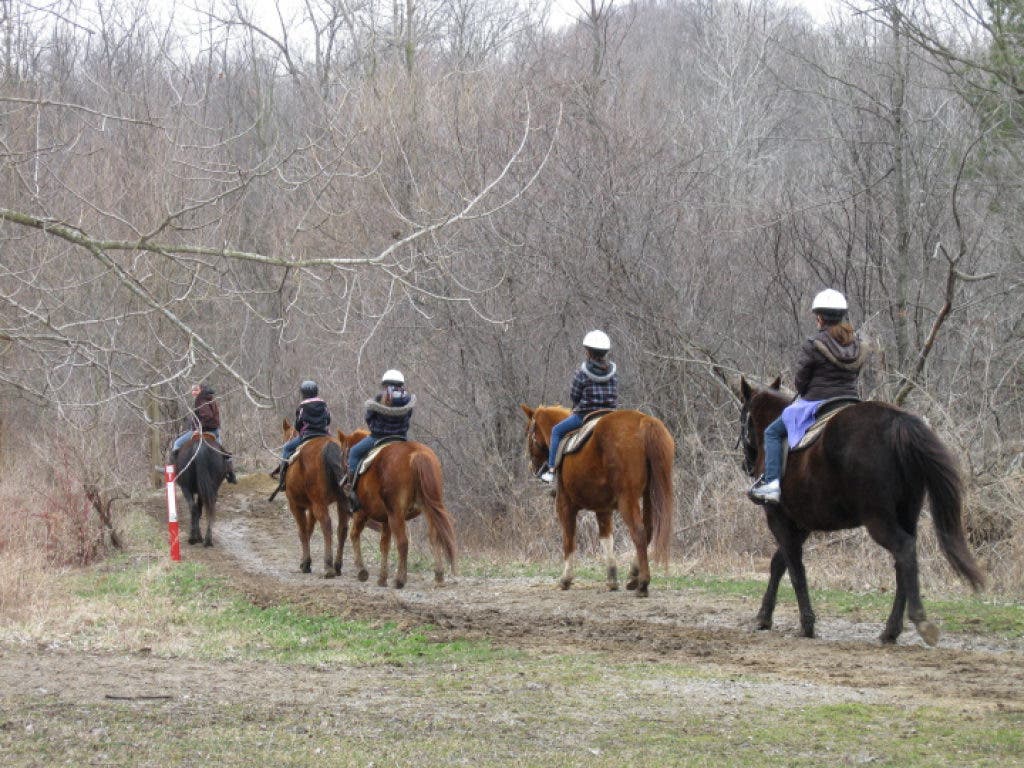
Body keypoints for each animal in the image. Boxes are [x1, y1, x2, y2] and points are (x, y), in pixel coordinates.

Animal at [280, 419, 350, 578]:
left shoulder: (296, 506)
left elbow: (302, 531)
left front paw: (305, 563)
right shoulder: (312, 507)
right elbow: (309, 529)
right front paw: (304, 561)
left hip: (319, 503)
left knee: (327, 525)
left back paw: (328, 566)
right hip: (341, 502)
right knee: (342, 529)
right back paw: (337, 566)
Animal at [337, 429, 456, 589]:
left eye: (344, 454)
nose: (343, 482)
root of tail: (416, 454)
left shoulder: (361, 513)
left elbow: (354, 535)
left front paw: (362, 571)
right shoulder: (386, 520)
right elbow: (384, 545)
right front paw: (382, 578)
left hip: (396, 514)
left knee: (403, 542)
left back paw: (400, 580)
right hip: (428, 509)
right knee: (434, 538)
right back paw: (439, 577)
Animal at [519, 405, 675, 597]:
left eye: (529, 432)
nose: (532, 467)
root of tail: (644, 422)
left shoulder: (565, 505)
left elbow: (569, 539)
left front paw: (566, 579)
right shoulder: (603, 509)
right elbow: (606, 538)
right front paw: (612, 579)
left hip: (627, 499)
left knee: (638, 532)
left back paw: (643, 584)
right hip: (649, 496)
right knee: (648, 530)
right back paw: (633, 576)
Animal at [738, 376, 984, 644]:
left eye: (743, 418)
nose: (746, 464)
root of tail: (897, 422)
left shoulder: (779, 519)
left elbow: (794, 569)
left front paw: (806, 624)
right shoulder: (800, 525)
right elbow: (779, 564)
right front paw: (764, 617)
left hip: (878, 520)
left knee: (904, 549)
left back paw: (918, 619)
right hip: (906, 515)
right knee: (903, 564)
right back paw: (891, 630)